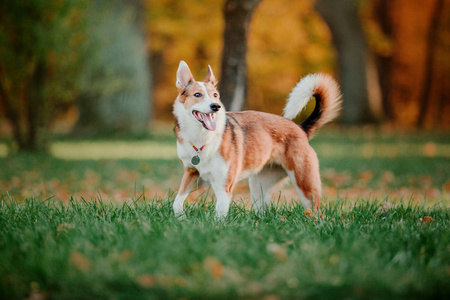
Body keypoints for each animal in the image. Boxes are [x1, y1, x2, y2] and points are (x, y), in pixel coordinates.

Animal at [172, 59, 342, 217]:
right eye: (197, 95)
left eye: (215, 95)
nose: (216, 106)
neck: (202, 138)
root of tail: (300, 129)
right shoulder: (191, 172)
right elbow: (176, 203)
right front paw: (181, 219)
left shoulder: (223, 186)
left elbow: (219, 214)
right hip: (257, 186)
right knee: (262, 212)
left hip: (305, 185)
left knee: (316, 212)